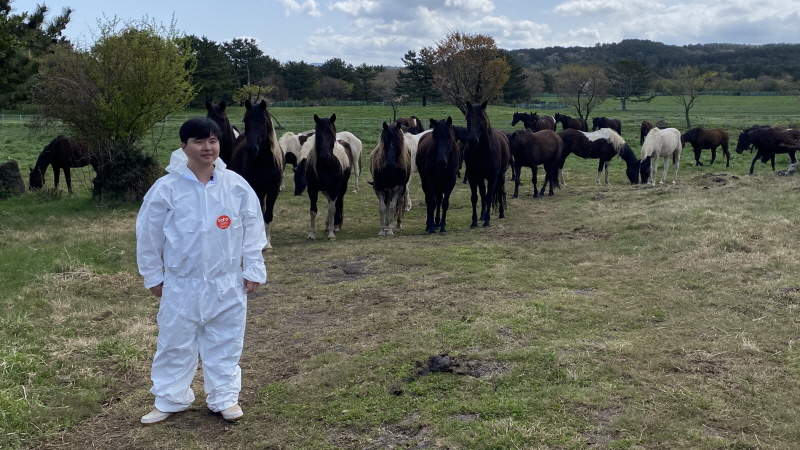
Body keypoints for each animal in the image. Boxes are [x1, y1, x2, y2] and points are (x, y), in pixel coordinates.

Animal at [228, 99, 284, 251]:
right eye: (246, 121)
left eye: (263, 122)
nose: (251, 149)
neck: (264, 161)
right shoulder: (255, 188)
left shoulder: (273, 189)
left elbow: (268, 214)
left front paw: (268, 243)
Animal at [462, 101, 506, 229]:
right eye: (468, 119)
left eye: (481, 120)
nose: (472, 140)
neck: (483, 150)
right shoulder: (473, 176)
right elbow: (475, 197)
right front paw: (474, 222)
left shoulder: (493, 177)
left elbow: (489, 196)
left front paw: (487, 222)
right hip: (481, 177)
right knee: (482, 193)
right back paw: (482, 215)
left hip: (501, 176)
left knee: (499, 191)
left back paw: (501, 213)